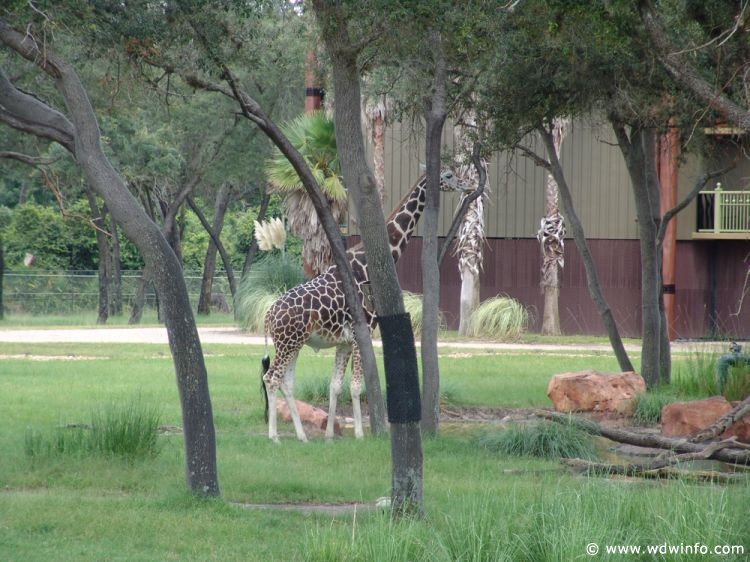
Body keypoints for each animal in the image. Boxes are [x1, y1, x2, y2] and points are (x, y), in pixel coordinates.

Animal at [264, 168, 470, 440]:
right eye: (448, 175)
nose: (468, 184)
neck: (365, 265)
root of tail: (268, 316)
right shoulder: (362, 333)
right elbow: (355, 386)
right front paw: (362, 434)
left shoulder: (343, 342)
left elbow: (335, 386)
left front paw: (329, 435)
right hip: (287, 343)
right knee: (271, 378)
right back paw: (274, 436)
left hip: (293, 344)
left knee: (286, 382)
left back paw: (302, 437)